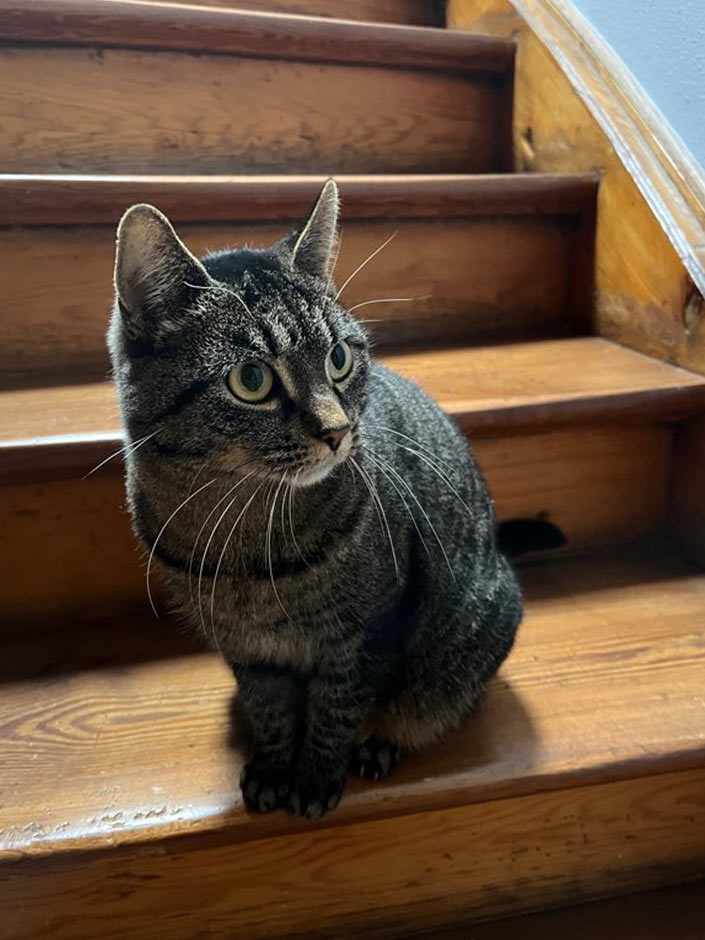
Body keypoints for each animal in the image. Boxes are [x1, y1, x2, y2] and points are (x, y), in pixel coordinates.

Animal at [107, 180, 520, 820]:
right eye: (251, 380)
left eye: (339, 358)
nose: (338, 431)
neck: (250, 540)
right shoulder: (246, 650)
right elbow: (271, 711)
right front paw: (275, 768)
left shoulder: (365, 633)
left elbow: (336, 710)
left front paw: (317, 777)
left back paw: (382, 742)